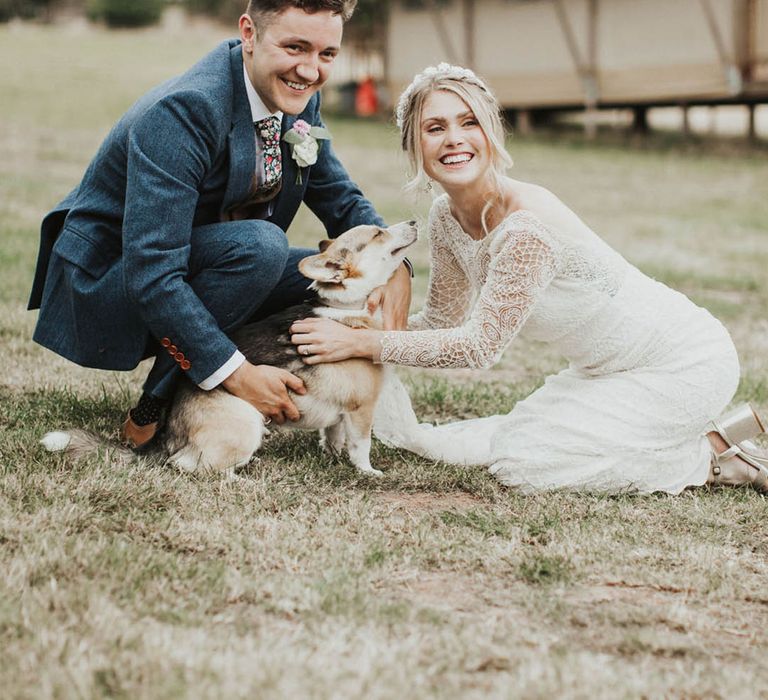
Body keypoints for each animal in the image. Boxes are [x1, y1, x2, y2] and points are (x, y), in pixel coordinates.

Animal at [42, 221, 420, 478]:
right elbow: (361, 446)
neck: (347, 306)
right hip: (247, 423)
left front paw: (333, 456)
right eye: (377, 234)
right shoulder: (361, 409)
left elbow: (334, 436)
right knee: (191, 467)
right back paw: (240, 479)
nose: (414, 222)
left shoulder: (341, 413)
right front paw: (368, 472)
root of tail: (168, 438)